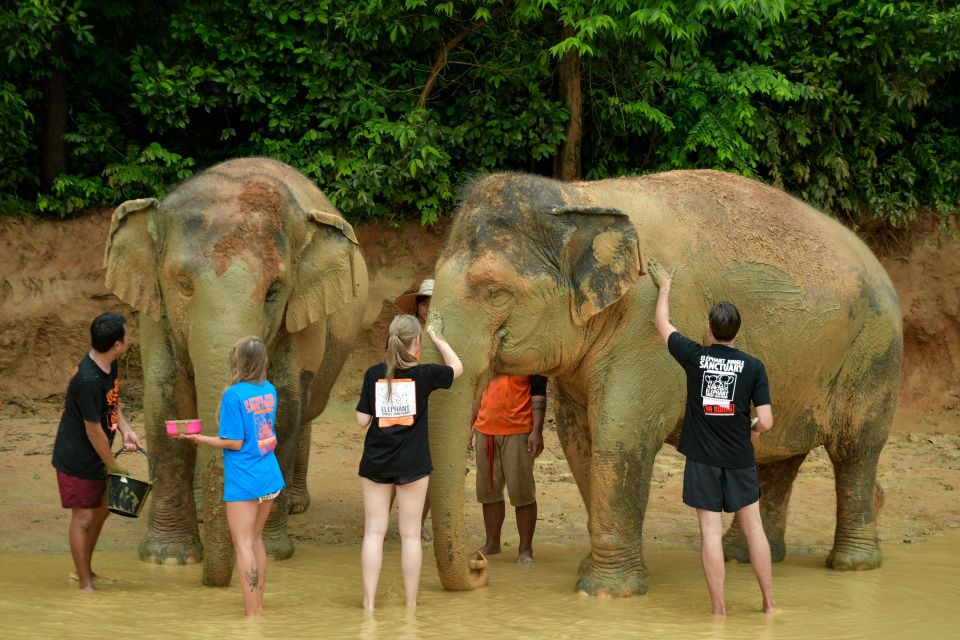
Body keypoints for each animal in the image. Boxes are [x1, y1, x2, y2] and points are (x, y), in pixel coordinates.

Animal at [104, 157, 368, 586]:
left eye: (274, 290)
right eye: (182, 284)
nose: (219, 580)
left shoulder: (298, 316)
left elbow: (285, 407)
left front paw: (271, 552)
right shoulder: (155, 314)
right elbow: (165, 403)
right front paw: (169, 559)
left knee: (306, 410)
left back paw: (295, 506)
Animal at [423, 169, 902, 597]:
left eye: (494, 292)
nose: (479, 564)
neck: (580, 196)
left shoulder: (644, 331)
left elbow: (619, 435)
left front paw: (606, 593)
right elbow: (581, 442)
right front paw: (591, 572)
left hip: (874, 351)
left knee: (856, 449)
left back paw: (852, 565)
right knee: (778, 457)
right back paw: (744, 557)